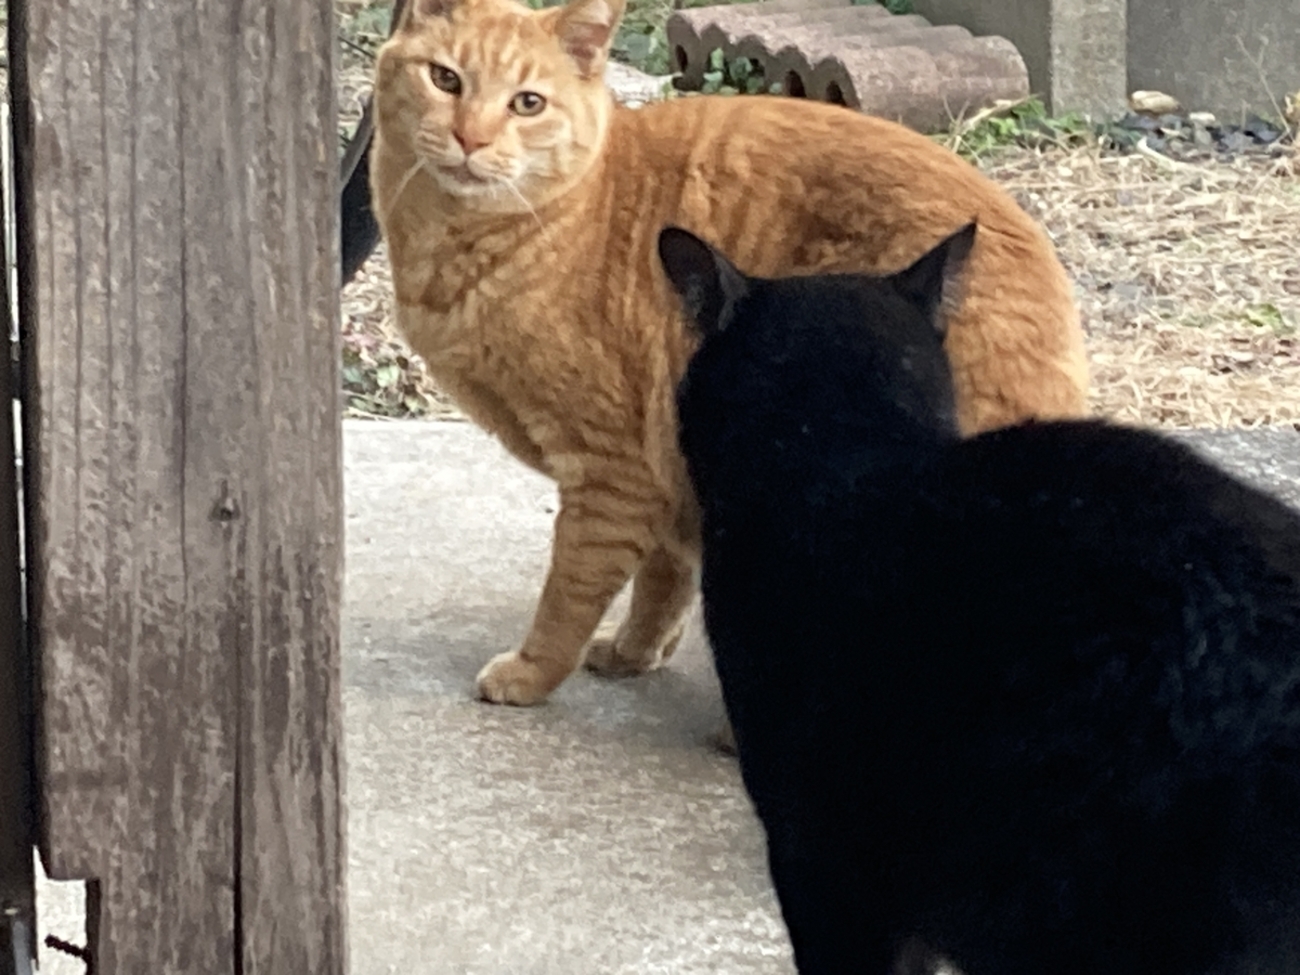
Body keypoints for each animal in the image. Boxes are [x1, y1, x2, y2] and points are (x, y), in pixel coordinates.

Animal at [370, 0, 1089, 708]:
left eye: (527, 103)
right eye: (445, 80)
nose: (470, 139)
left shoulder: (611, 472)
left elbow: (568, 596)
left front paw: (529, 674)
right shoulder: (668, 475)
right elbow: (663, 579)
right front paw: (634, 654)